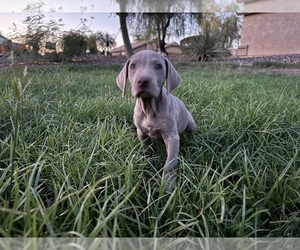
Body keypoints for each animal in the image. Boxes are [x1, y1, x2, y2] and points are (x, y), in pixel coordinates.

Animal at [116, 50, 196, 188]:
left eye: (158, 66)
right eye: (132, 66)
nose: (143, 81)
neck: (149, 108)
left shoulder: (172, 138)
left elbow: (170, 163)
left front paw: (168, 185)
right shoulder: (141, 132)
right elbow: (146, 149)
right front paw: (148, 162)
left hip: (190, 124)